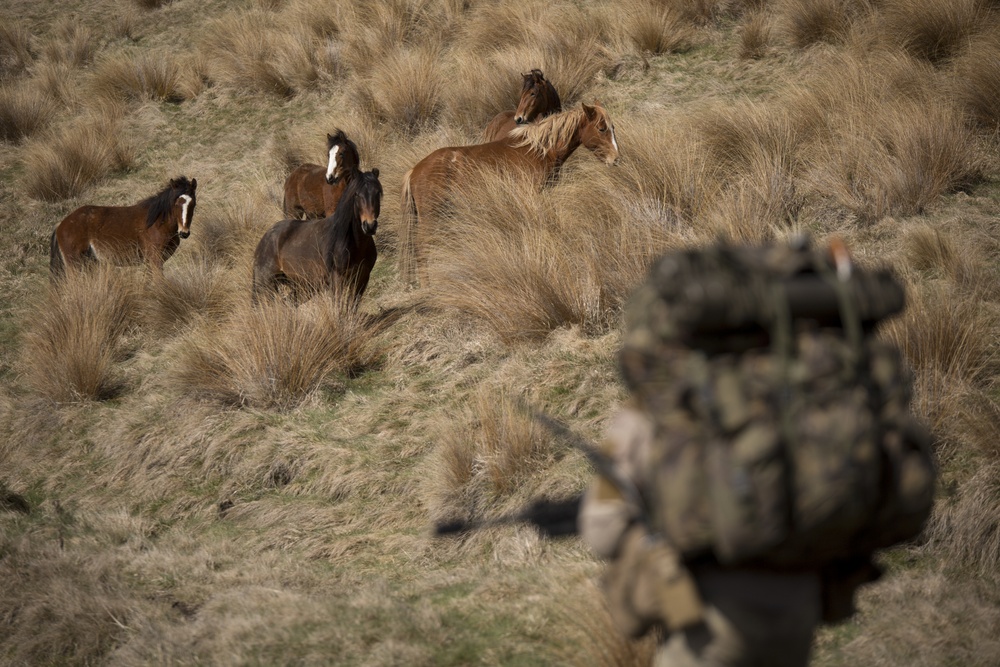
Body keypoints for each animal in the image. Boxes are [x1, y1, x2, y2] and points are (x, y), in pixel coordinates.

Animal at [50, 175, 197, 280]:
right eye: (176, 204)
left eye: (193, 204)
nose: (184, 233)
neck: (157, 222)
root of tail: (60, 226)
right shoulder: (155, 260)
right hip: (75, 265)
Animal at [254, 167, 382, 306]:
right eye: (356, 194)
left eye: (378, 193)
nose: (369, 226)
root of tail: (264, 239)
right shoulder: (337, 279)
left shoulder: (362, 278)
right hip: (266, 286)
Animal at [398, 103, 616, 286]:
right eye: (601, 128)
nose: (615, 159)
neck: (536, 150)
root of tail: (414, 170)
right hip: (430, 218)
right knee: (422, 248)